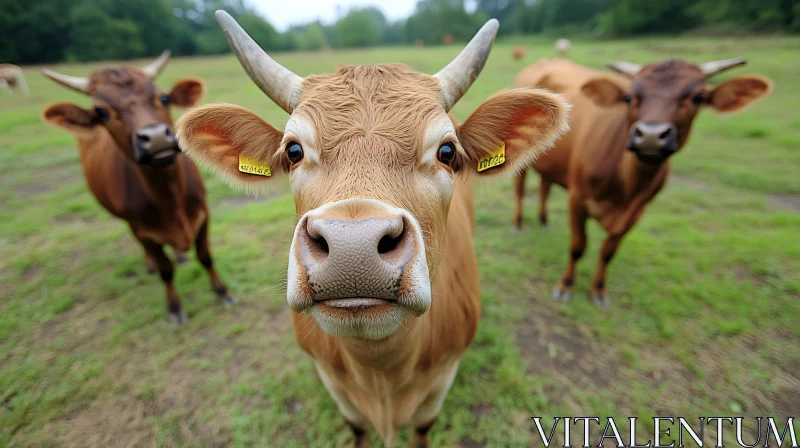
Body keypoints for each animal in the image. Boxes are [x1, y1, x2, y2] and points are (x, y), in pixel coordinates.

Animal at [41, 50, 234, 324]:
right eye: (102, 112)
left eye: (163, 97)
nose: (155, 138)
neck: (171, 197)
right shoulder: (141, 231)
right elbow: (166, 270)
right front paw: (174, 307)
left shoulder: (203, 215)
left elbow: (205, 256)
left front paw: (222, 291)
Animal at [176, 11, 568, 448]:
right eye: (293, 150)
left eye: (447, 152)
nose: (353, 248)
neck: (382, 374)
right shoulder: (336, 387)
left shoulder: (439, 384)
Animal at [512, 57, 776, 308]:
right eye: (630, 97)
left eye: (698, 97)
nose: (650, 136)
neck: (626, 186)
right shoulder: (577, 198)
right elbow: (578, 246)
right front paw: (566, 285)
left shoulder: (637, 212)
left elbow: (608, 252)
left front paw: (598, 290)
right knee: (521, 190)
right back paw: (518, 223)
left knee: (545, 186)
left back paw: (543, 220)